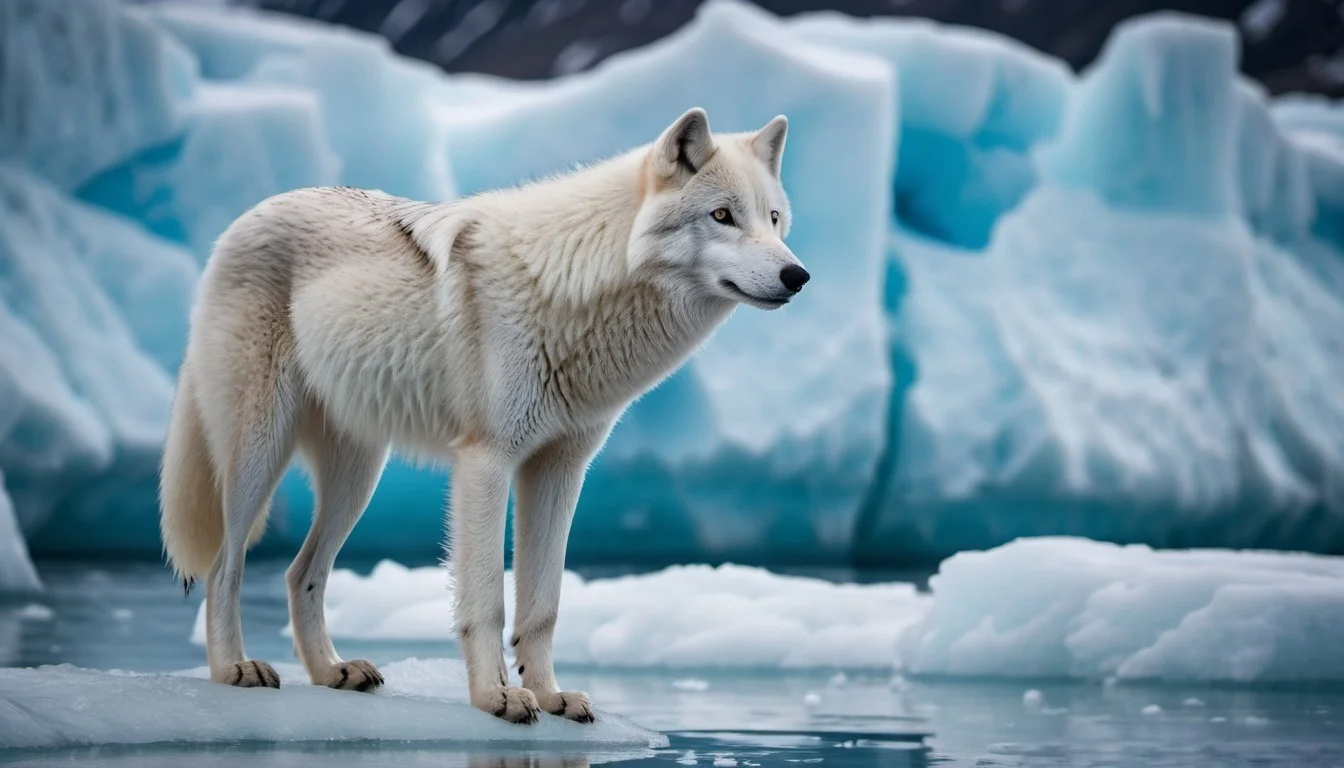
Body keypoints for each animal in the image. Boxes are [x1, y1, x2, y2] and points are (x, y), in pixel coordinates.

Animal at [158, 107, 808, 723]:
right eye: (722, 216)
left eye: (774, 219)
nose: (797, 276)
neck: (573, 286)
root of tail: (241, 221)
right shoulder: (486, 462)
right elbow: (487, 600)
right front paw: (496, 699)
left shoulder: (560, 470)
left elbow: (543, 604)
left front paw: (551, 697)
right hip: (259, 454)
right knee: (224, 564)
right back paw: (235, 668)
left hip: (357, 477)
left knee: (300, 573)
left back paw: (331, 671)